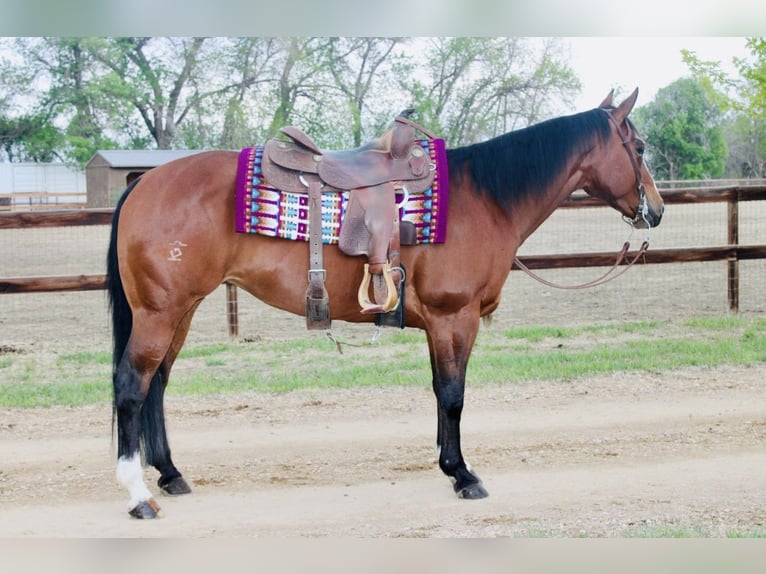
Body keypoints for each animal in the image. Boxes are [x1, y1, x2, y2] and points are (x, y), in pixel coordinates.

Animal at [106, 88, 664, 518]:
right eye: (638, 146)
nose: (655, 211)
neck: (484, 198)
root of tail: (144, 182)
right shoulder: (454, 318)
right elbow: (454, 395)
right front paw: (463, 474)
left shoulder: (441, 326)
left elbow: (440, 392)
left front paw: (447, 463)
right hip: (159, 313)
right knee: (133, 387)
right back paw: (137, 495)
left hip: (180, 311)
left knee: (158, 385)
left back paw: (170, 474)